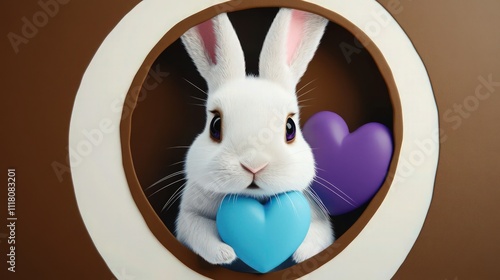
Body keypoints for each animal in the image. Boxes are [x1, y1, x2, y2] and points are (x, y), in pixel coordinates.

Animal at [175, 8, 332, 266]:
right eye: (215, 125)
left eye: (290, 127)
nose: (254, 165)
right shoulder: (189, 216)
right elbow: (199, 232)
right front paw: (225, 254)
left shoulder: (319, 218)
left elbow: (318, 233)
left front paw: (300, 253)